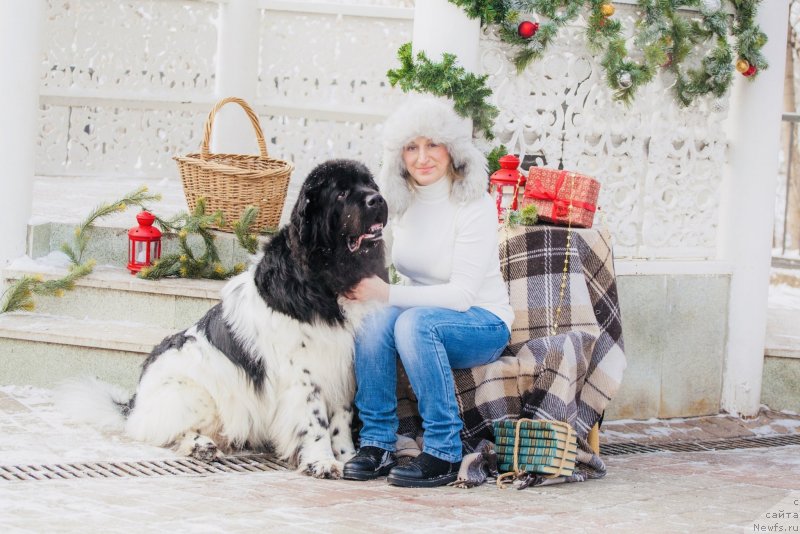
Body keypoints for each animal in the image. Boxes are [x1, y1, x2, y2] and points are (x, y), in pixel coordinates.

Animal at [61, 160, 388, 482]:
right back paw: (200, 446)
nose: (377, 199)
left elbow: (341, 420)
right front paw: (321, 462)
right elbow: (315, 420)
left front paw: (347, 457)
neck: (328, 274)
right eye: (341, 193)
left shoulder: (344, 366)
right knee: (166, 430)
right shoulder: (306, 372)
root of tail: (134, 401)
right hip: (192, 392)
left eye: (370, 184)